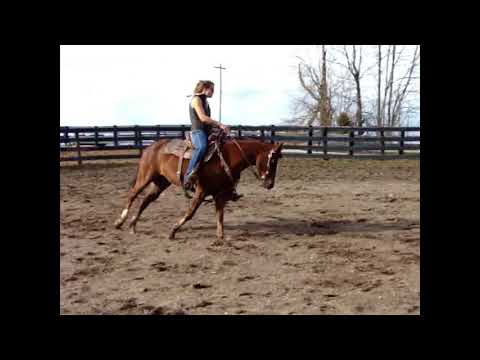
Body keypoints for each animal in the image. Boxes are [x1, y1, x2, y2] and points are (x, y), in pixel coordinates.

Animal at [114, 138, 284, 245]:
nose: (270, 184)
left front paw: (221, 238)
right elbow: (191, 213)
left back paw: (132, 225)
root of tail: (150, 147)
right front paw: (173, 231)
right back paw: (120, 222)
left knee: (146, 200)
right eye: (273, 160)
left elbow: (220, 216)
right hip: (145, 177)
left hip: (161, 182)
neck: (227, 158)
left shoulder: (219, 195)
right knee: (133, 195)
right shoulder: (201, 191)